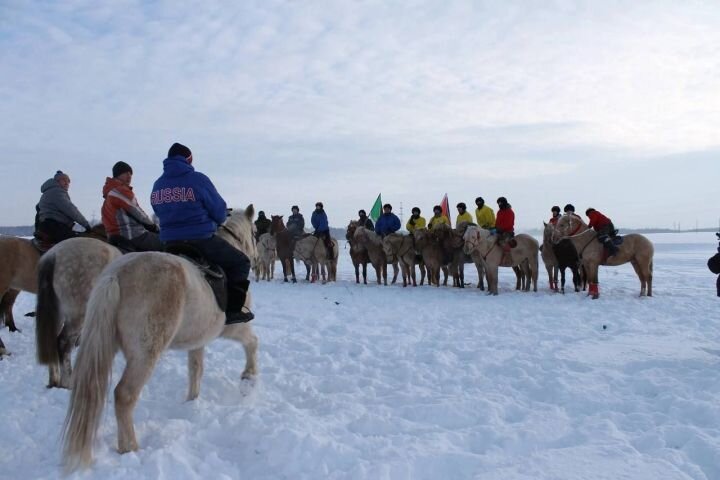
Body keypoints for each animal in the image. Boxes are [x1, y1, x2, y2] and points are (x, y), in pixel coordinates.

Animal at [62, 205, 258, 468]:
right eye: (255, 232)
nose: (257, 258)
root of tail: (116, 275)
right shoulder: (232, 328)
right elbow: (252, 342)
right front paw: (249, 375)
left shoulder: (197, 340)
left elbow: (196, 369)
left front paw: (192, 402)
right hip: (145, 355)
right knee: (124, 395)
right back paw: (130, 448)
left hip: (103, 346)